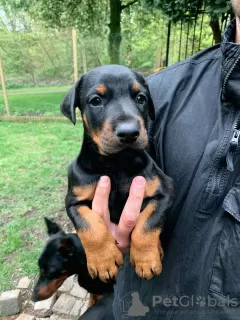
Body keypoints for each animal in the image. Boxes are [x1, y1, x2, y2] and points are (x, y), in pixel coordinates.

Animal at [61, 65, 173, 282]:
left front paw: (146, 260)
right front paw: (103, 261)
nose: (129, 133)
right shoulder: (74, 201)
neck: (116, 164)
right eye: (96, 100)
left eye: (141, 98)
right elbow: (90, 226)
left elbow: (148, 224)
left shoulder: (165, 190)